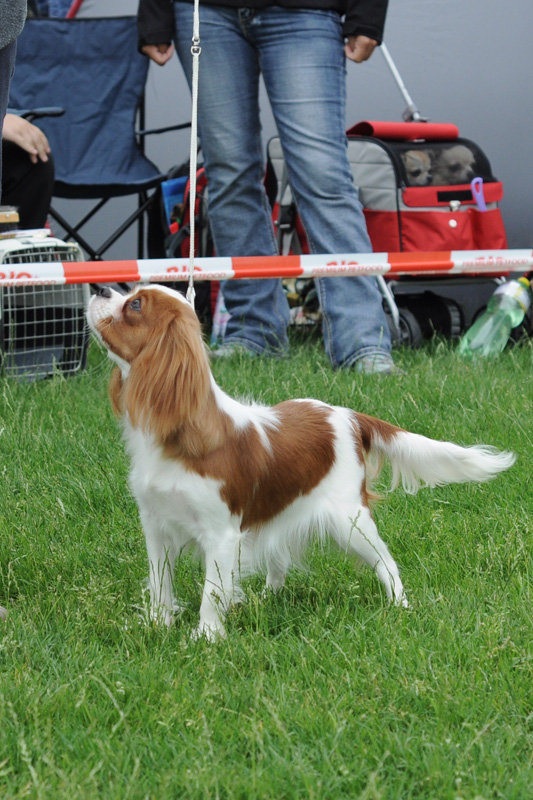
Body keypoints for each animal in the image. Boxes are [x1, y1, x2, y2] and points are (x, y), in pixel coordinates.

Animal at [87, 285, 515, 640]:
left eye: (136, 305)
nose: (99, 287)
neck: (175, 436)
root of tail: (350, 415)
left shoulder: (221, 534)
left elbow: (212, 592)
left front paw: (205, 638)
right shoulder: (156, 526)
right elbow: (160, 583)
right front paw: (158, 624)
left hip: (349, 521)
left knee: (386, 561)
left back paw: (399, 604)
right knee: (278, 558)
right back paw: (266, 597)